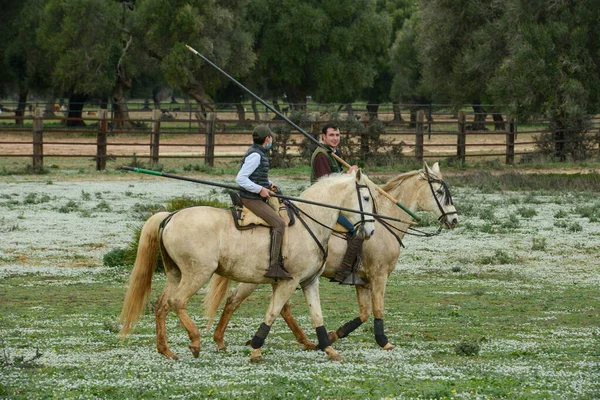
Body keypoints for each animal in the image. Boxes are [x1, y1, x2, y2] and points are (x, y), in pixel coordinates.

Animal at [118, 170, 376, 360]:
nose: (371, 231)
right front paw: (256, 349)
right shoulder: (289, 281)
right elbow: (273, 312)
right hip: (197, 273)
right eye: (365, 198)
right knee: (176, 301)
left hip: (175, 273)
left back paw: (166, 350)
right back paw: (195, 341)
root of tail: (170, 216)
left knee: (161, 305)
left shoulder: (308, 282)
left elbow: (317, 315)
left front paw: (328, 348)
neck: (309, 221)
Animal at [204, 161, 458, 352]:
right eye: (440, 192)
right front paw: (383, 341)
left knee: (266, 305)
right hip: (261, 277)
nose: (454, 219)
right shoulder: (379, 276)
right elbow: (377, 310)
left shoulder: (362, 282)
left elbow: (364, 313)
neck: (384, 223)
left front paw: (334, 335)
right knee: (238, 300)